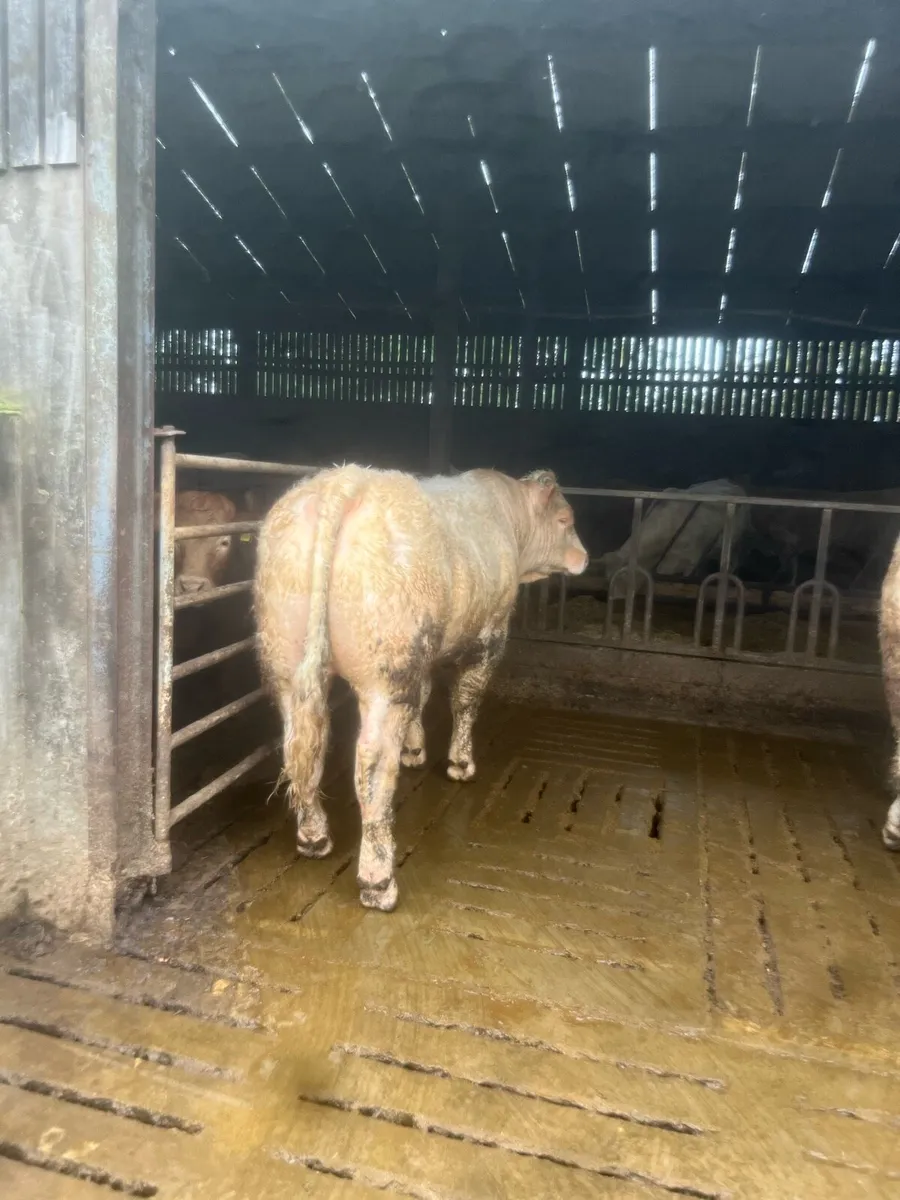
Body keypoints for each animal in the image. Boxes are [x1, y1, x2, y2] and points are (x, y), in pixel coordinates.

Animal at [254, 464, 588, 912]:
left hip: (288, 661)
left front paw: (414, 751)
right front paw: (460, 763)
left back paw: (314, 837)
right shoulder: (490, 633)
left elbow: (425, 696)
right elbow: (466, 699)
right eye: (565, 519)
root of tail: (343, 480)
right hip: (387, 669)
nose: (584, 557)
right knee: (372, 765)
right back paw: (378, 881)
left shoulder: (425, 652)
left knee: (303, 745)